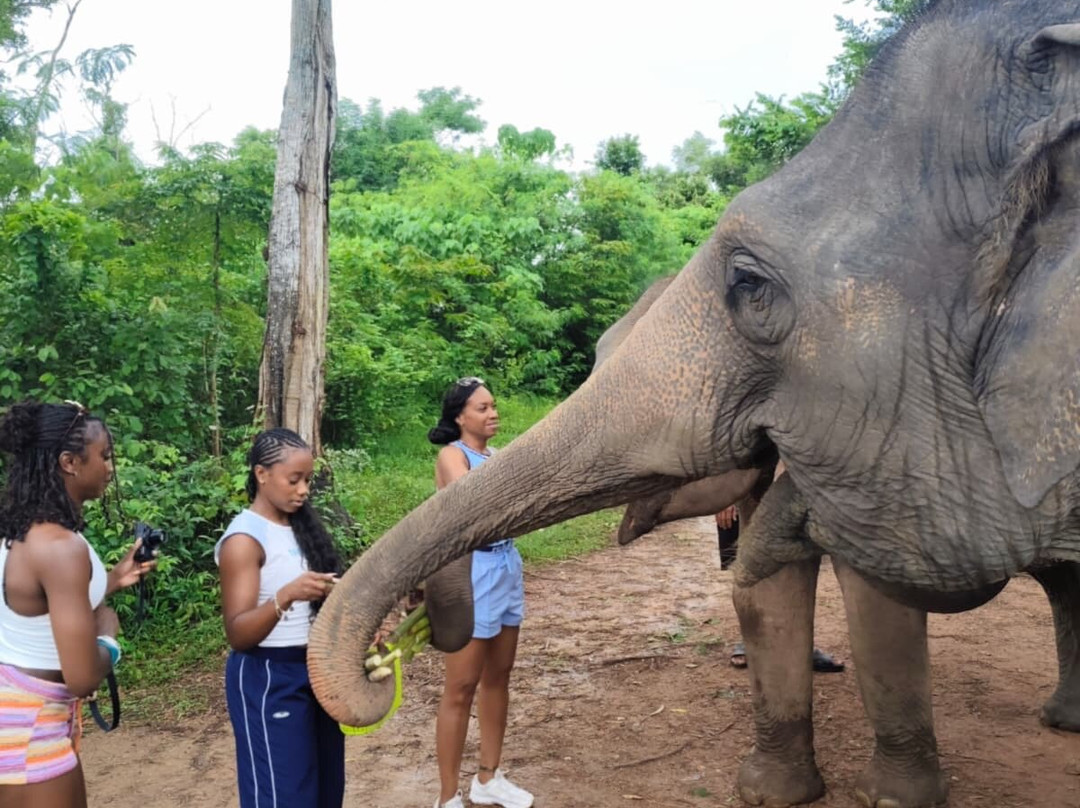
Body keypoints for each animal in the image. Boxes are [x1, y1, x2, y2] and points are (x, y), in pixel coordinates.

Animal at [309, 3, 1080, 807]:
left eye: (749, 285)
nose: (390, 650)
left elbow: (874, 588)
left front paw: (891, 801)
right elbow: (779, 571)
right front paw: (773, 794)